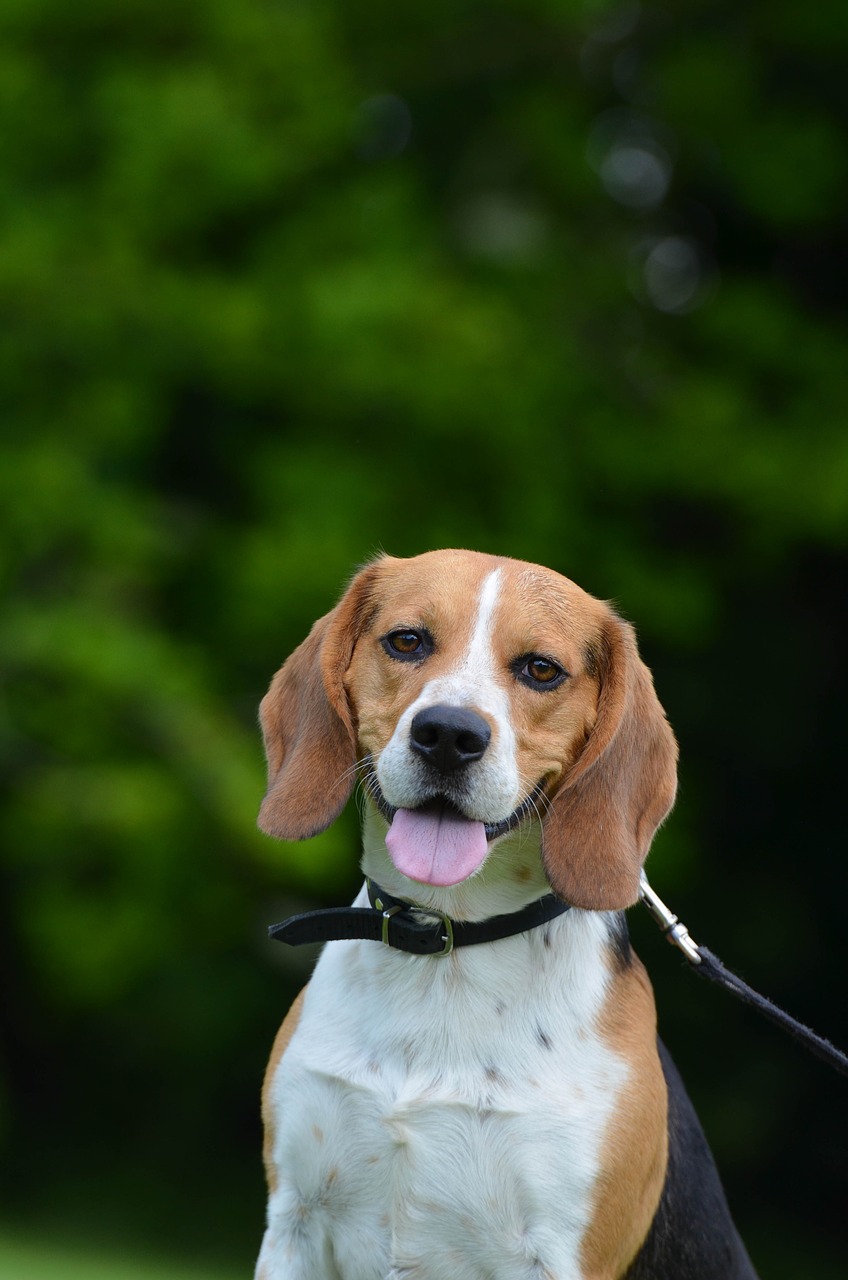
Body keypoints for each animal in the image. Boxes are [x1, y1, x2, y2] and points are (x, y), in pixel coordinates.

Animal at [252, 550, 758, 1280]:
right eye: (407, 641)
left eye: (540, 669)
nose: (448, 734)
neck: (445, 944)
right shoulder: (293, 1223)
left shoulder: (557, 1256)